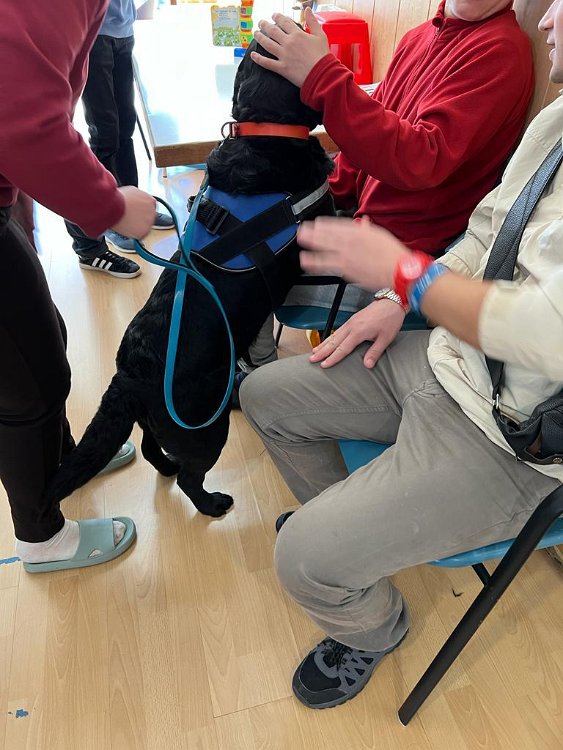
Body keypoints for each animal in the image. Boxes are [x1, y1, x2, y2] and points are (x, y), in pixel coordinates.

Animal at [45, 37, 335, 517]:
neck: (265, 135)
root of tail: (129, 376)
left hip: (157, 422)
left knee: (151, 450)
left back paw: (165, 467)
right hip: (204, 428)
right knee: (189, 476)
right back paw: (212, 503)